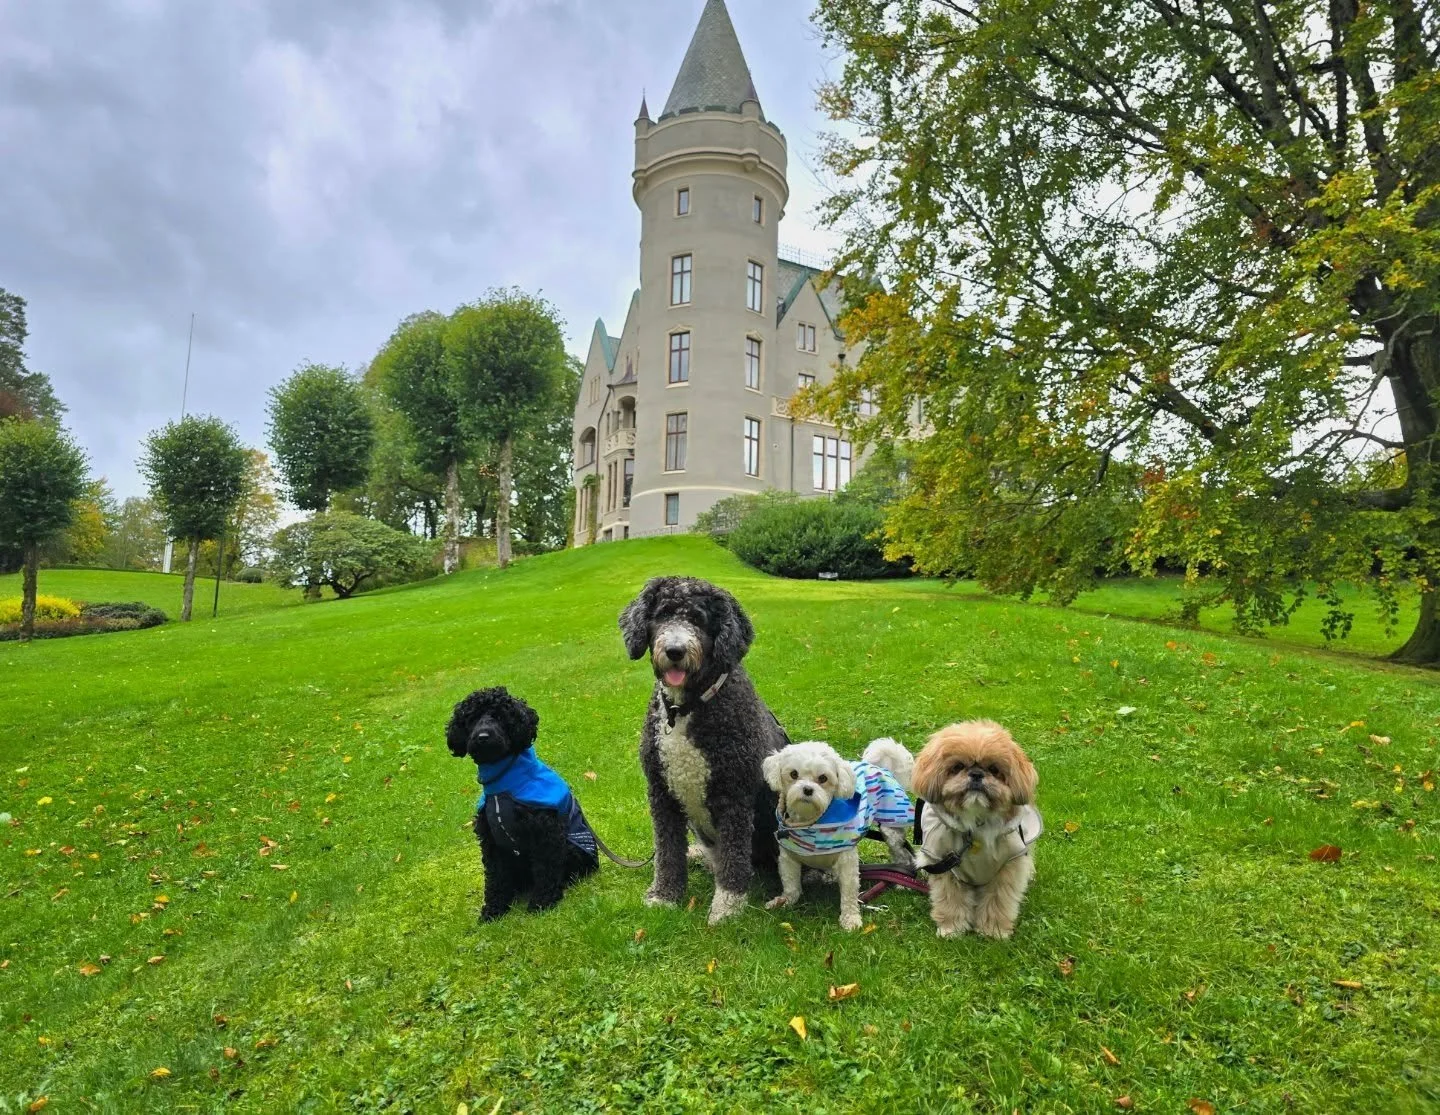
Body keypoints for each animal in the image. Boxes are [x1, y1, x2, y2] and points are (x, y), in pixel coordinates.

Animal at [446, 686, 598, 920]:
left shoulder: (545, 835)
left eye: (500, 717)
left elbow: (546, 870)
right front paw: (494, 909)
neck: (503, 786)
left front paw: (542, 902)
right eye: (472, 719)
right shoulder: (491, 843)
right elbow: (495, 878)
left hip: (573, 848)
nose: (483, 737)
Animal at [619, 576, 789, 924]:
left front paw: (727, 908)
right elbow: (667, 851)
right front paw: (665, 895)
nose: (675, 651)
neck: (685, 709)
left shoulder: (734, 795)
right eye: (662, 614)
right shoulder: (661, 792)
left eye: (698, 619)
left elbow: (733, 859)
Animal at [763, 738, 916, 930]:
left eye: (823, 778)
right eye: (793, 774)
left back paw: (902, 881)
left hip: (891, 826)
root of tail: (879, 766)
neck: (812, 822)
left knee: (902, 855)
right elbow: (791, 884)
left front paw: (850, 918)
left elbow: (849, 893)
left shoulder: (847, 861)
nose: (807, 789)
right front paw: (784, 902)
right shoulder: (788, 858)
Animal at [912, 720, 1041, 939]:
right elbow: (951, 900)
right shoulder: (947, 867)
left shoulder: (1007, 868)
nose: (977, 774)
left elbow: (998, 901)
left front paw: (994, 930)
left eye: (994, 769)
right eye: (958, 767)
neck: (976, 825)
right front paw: (952, 928)